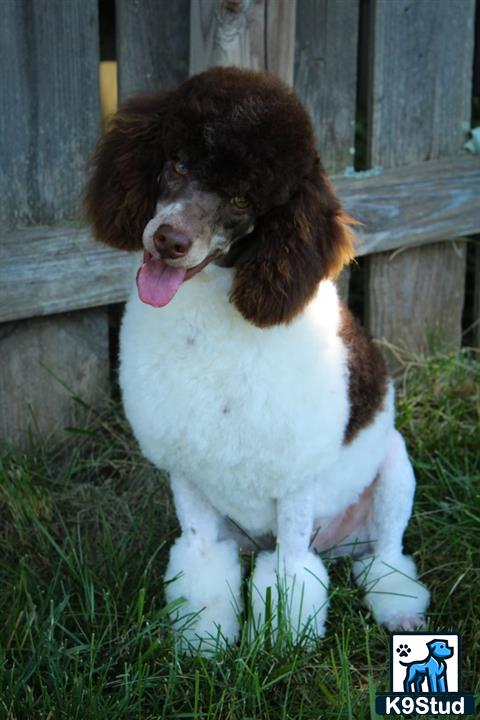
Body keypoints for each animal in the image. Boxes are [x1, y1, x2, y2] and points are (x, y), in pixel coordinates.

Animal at [84, 66, 430, 652]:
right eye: (178, 163)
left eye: (243, 199)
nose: (169, 239)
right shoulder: (188, 473)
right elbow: (201, 560)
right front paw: (204, 641)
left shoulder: (295, 483)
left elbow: (290, 571)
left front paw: (283, 645)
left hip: (393, 469)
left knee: (385, 556)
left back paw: (399, 609)